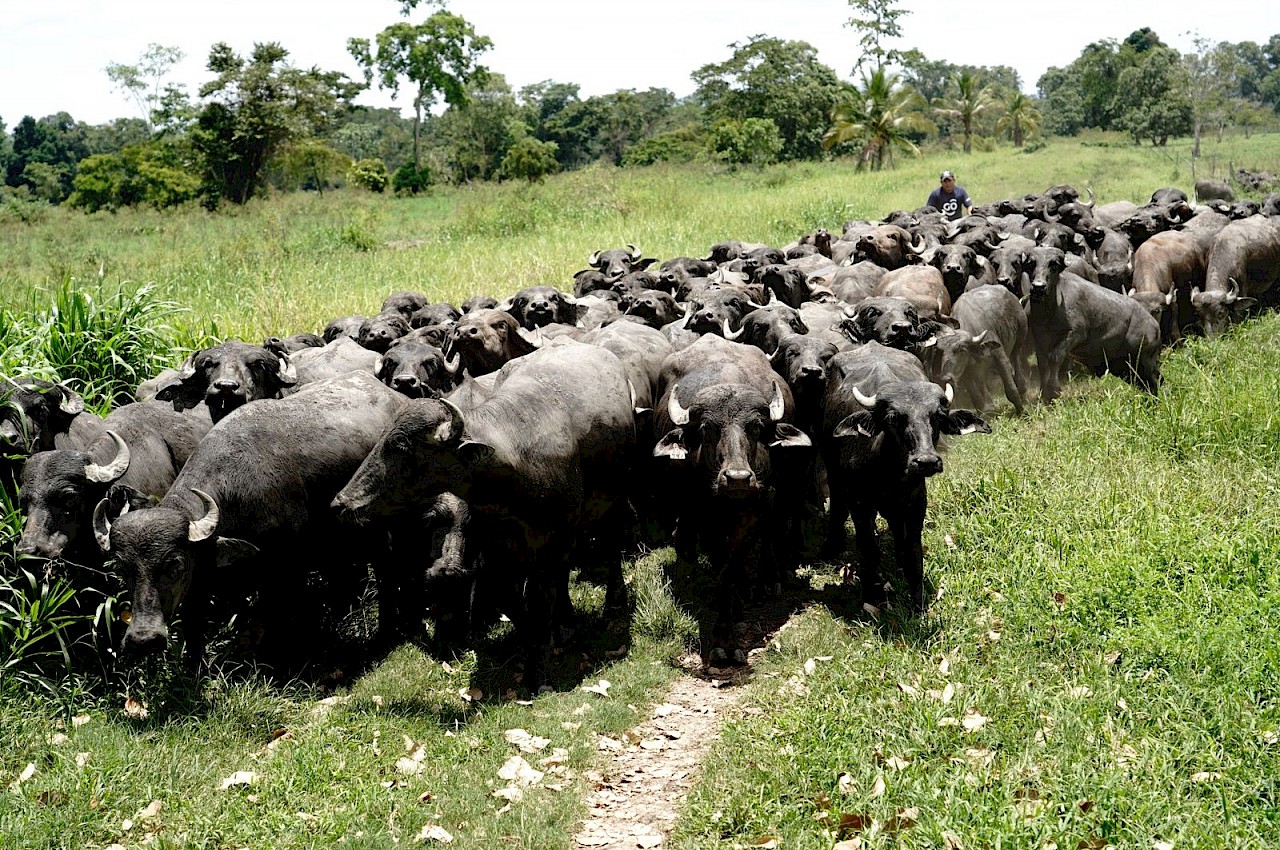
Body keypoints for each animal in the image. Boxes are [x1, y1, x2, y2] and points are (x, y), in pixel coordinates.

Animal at [97, 371, 407, 665]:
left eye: (174, 565)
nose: (143, 640)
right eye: (123, 569)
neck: (232, 492)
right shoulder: (201, 574)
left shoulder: (287, 565)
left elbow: (276, 616)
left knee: (386, 569)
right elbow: (194, 624)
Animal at [330, 340, 629, 691]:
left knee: (611, 545)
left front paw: (538, 670)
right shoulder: (497, 549)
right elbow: (514, 601)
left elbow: (542, 600)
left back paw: (612, 604)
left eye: (402, 446)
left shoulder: (556, 540)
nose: (341, 503)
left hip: (615, 498)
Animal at [819, 340, 988, 611]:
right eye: (893, 417)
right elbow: (870, 551)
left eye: (937, 416)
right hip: (833, 471)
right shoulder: (860, 504)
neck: (889, 475)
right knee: (837, 504)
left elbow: (913, 555)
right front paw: (870, 598)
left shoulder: (916, 502)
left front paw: (917, 605)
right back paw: (832, 546)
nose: (926, 461)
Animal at [1024, 244, 1167, 399]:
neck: (1049, 311)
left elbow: (1054, 357)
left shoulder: (1075, 334)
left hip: (1144, 361)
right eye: (1031, 263)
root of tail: (1154, 326)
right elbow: (1043, 365)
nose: (1038, 286)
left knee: (1155, 381)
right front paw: (1045, 393)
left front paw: (1054, 389)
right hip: (1126, 367)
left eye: (1054, 264)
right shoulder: (1040, 339)